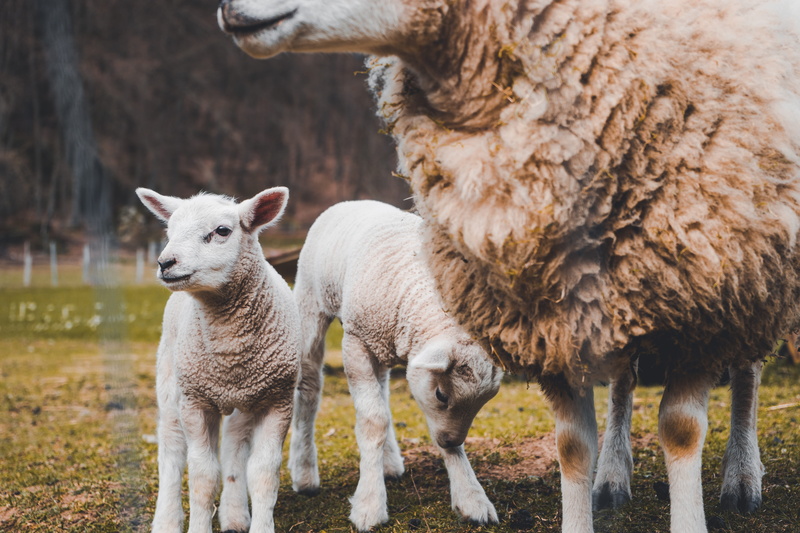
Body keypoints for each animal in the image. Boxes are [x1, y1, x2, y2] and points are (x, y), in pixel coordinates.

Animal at [136, 187, 299, 533]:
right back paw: (166, 520)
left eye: (222, 231)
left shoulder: (278, 400)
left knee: (234, 446)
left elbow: (263, 473)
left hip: (245, 400)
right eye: (169, 231)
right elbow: (202, 475)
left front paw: (260, 524)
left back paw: (235, 515)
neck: (229, 350)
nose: (165, 262)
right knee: (171, 449)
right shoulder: (195, 402)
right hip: (171, 382)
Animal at [287, 200, 502, 531]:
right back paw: (305, 474)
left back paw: (388, 463)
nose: (450, 438)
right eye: (442, 395)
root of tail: (351, 202)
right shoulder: (356, 343)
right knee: (309, 386)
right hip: (312, 306)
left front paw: (471, 497)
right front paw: (369, 504)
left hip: (378, 342)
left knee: (382, 392)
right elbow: (373, 421)